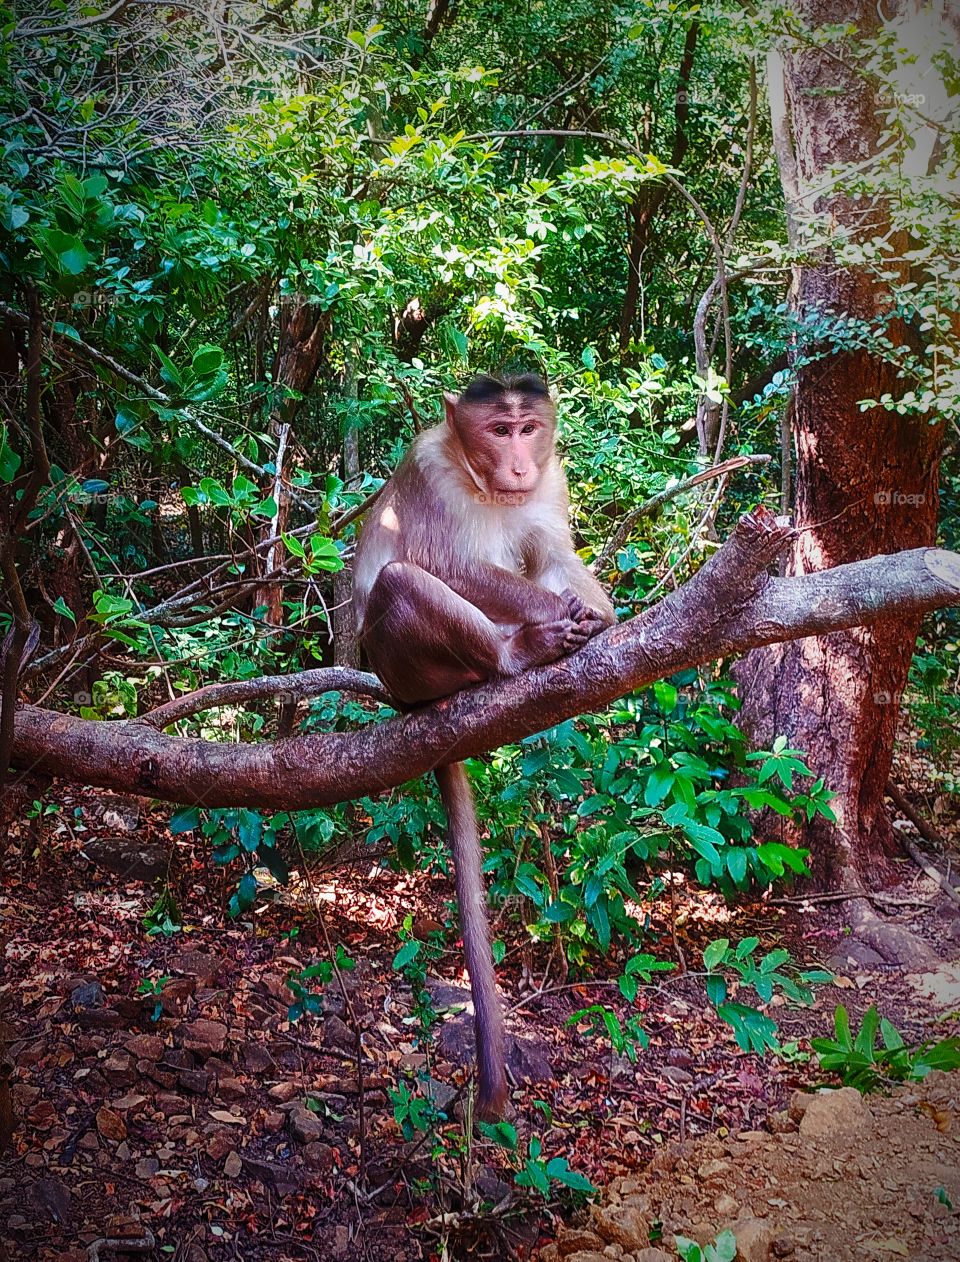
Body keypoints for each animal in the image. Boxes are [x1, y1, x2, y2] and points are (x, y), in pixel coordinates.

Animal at [352, 373, 615, 1119]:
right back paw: (513, 655)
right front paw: (561, 618)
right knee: (407, 579)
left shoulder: (552, 482)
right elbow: (445, 560)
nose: (519, 465)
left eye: (529, 428)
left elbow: (553, 553)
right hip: (404, 669)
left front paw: (608, 614)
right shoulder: (431, 471)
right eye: (498, 430)